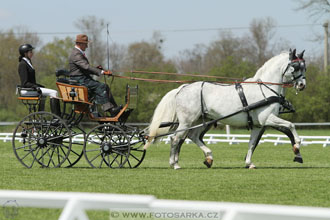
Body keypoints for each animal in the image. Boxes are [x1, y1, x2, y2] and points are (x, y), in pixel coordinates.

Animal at [144, 49, 306, 169]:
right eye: (296, 67)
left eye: (305, 67)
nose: (302, 85)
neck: (265, 89)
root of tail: (182, 88)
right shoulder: (267, 118)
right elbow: (290, 126)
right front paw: (297, 147)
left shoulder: (259, 125)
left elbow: (252, 143)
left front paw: (249, 163)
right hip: (187, 121)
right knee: (176, 138)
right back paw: (175, 164)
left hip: (201, 121)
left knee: (192, 136)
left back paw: (208, 157)